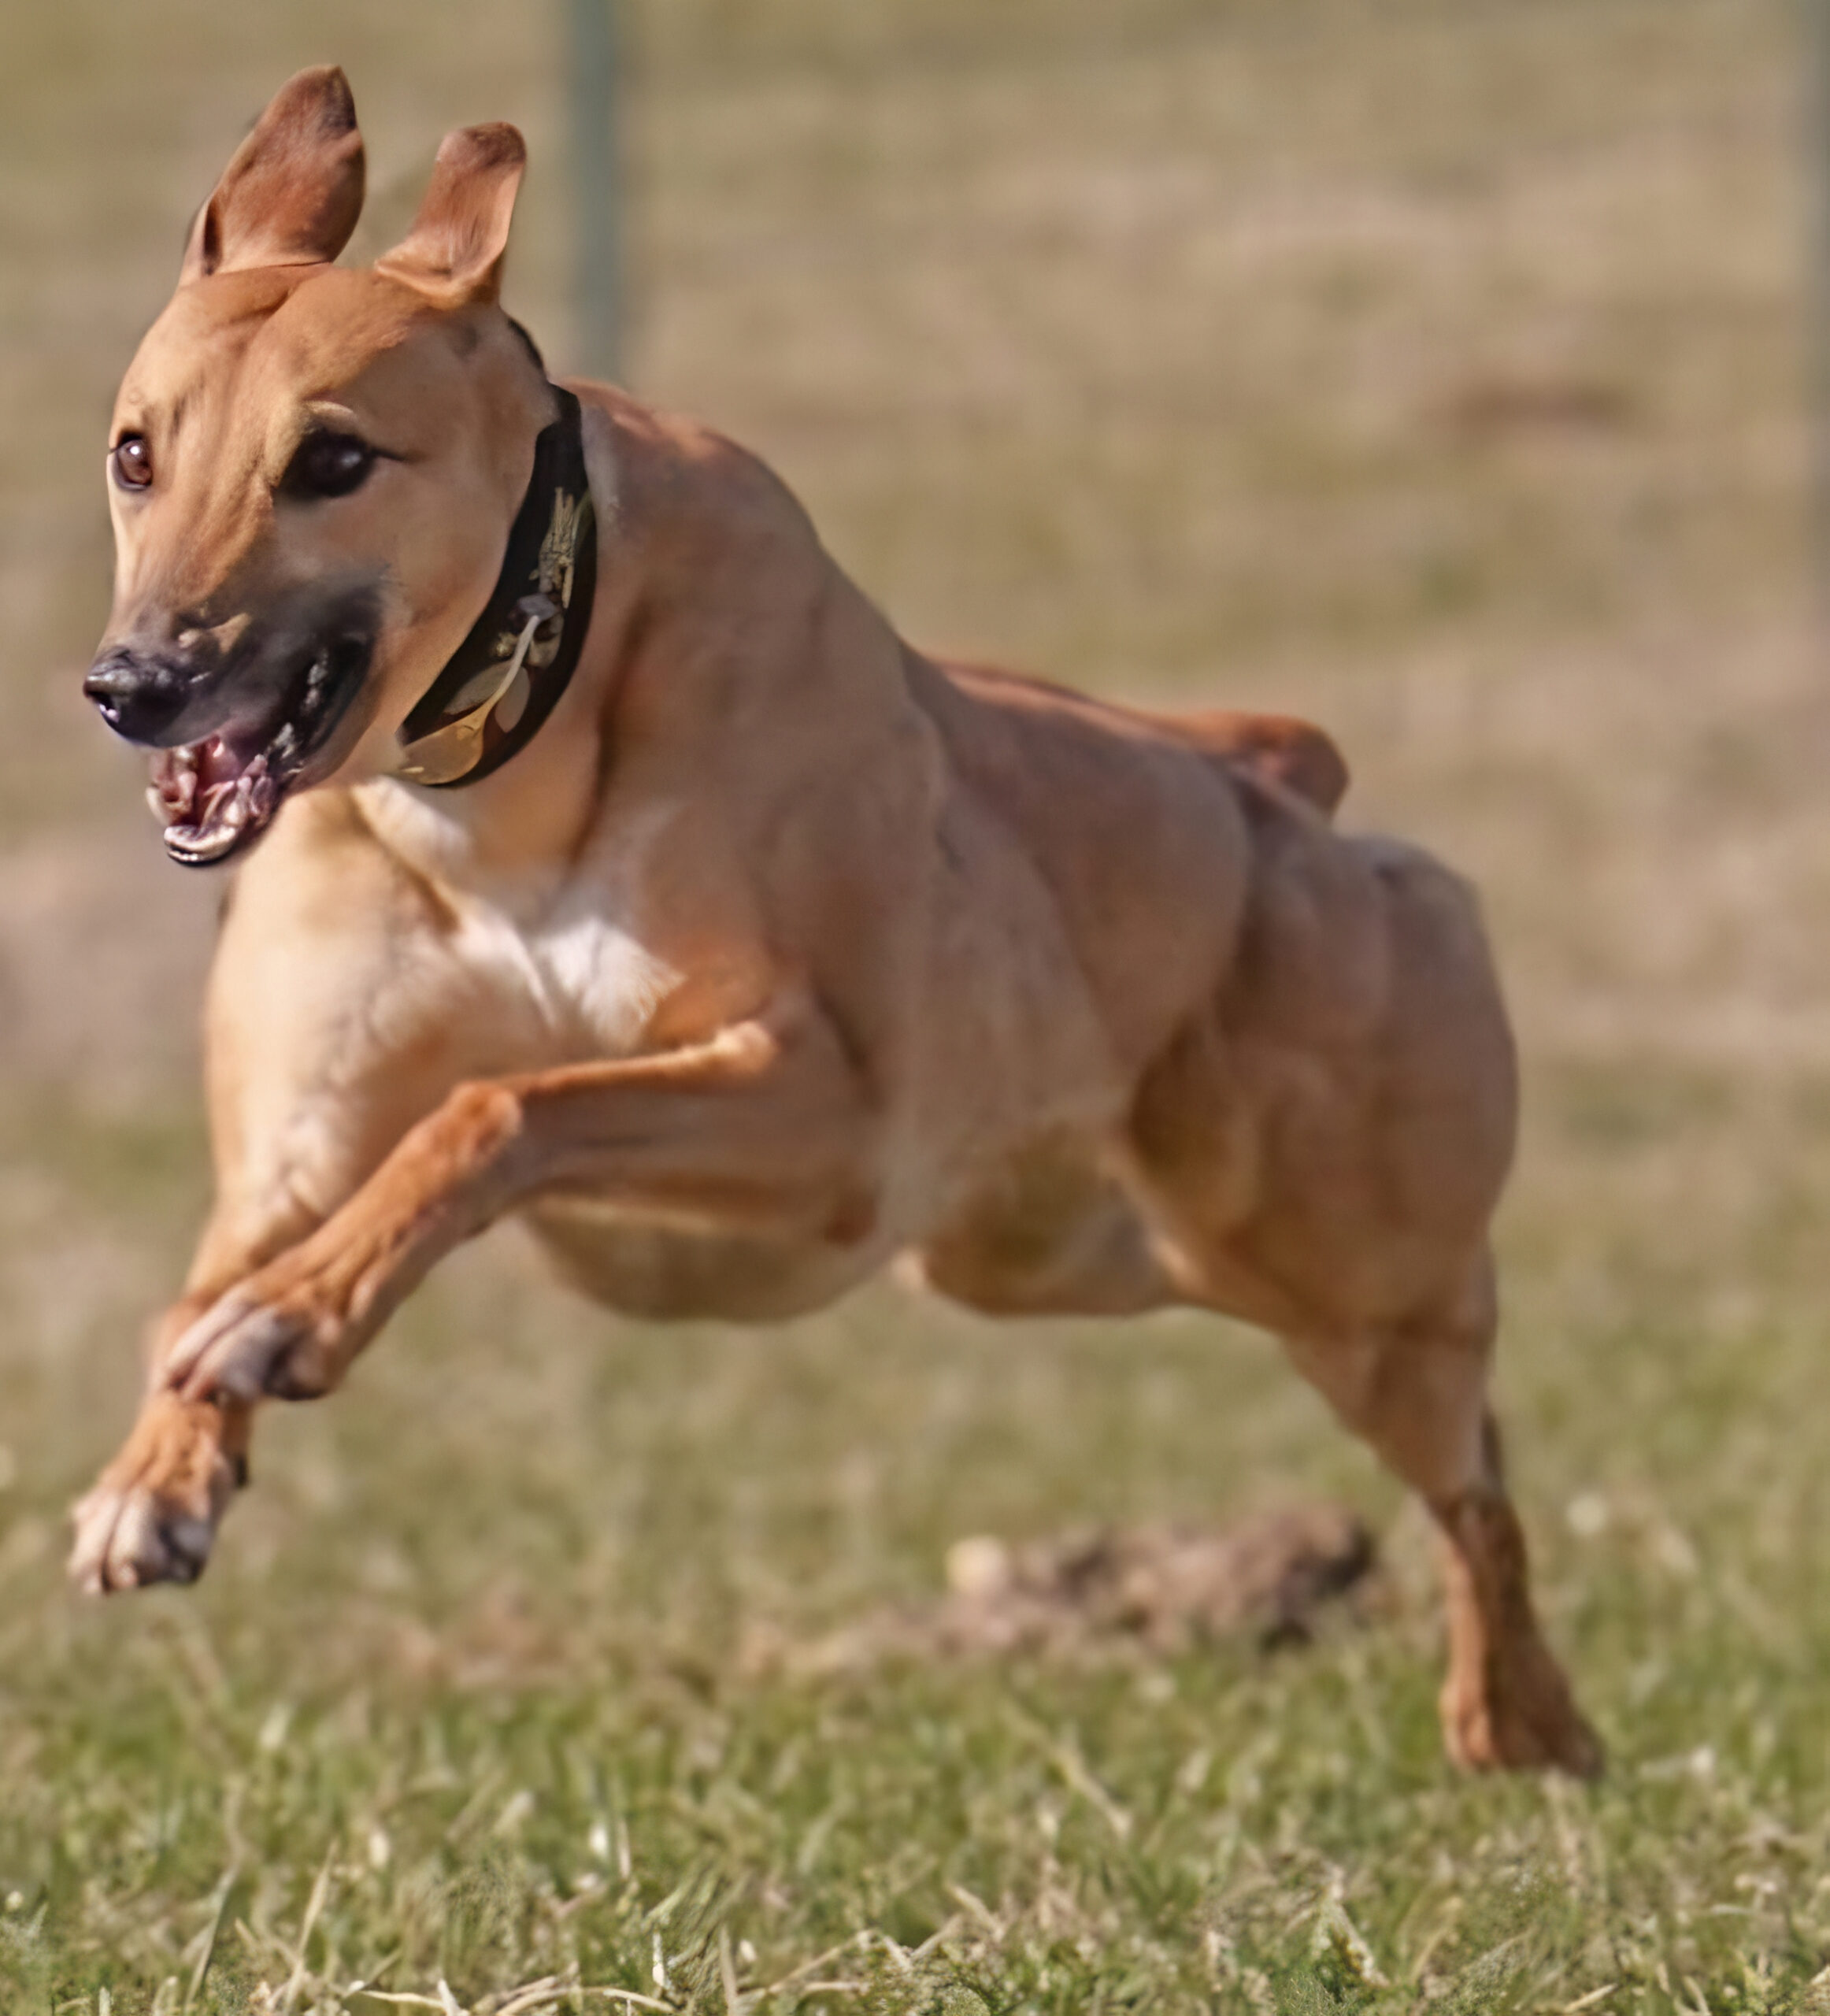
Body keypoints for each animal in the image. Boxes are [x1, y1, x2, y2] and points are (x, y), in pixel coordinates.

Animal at [68, 63, 1604, 1773]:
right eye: (137, 454)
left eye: (332, 461)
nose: (135, 685)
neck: (517, 744)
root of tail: (1271, 778)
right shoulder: (303, 1137)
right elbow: (222, 1265)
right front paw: (159, 1470)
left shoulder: (833, 1120)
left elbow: (499, 1106)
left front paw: (285, 1324)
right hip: (1040, 1250)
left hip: (1358, 1271)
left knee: (1472, 1472)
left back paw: (1521, 1712)